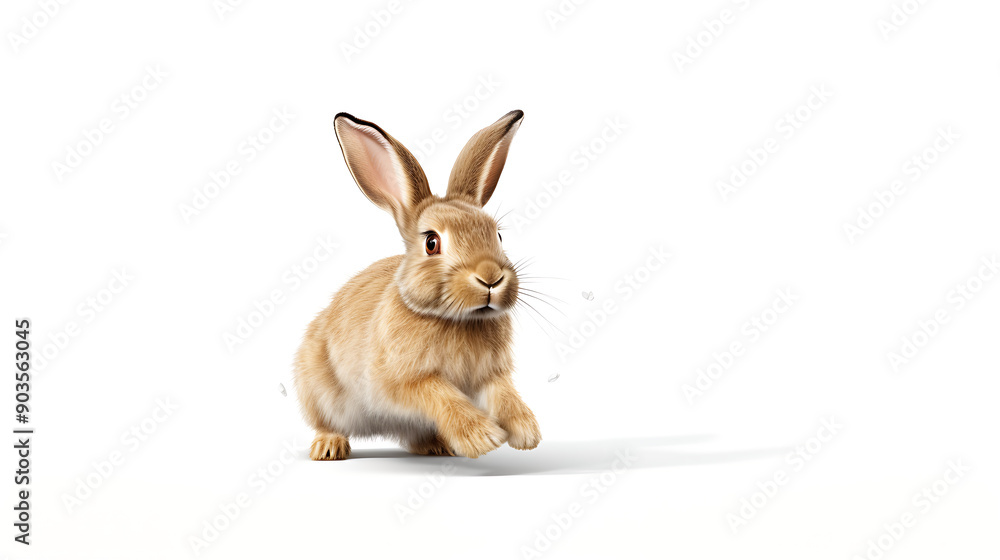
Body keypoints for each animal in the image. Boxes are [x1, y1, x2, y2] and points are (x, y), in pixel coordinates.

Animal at [294, 110, 541, 460]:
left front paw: (525, 431)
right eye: (432, 243)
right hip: (316, 388)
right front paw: (482, 437)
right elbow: (438, 392)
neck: (456, 320)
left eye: (498, 236)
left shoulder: (491, 375)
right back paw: (329, 447)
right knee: (326, 422)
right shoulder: (400, 380)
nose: (490, 278)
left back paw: (436, 446)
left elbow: (505, 394)